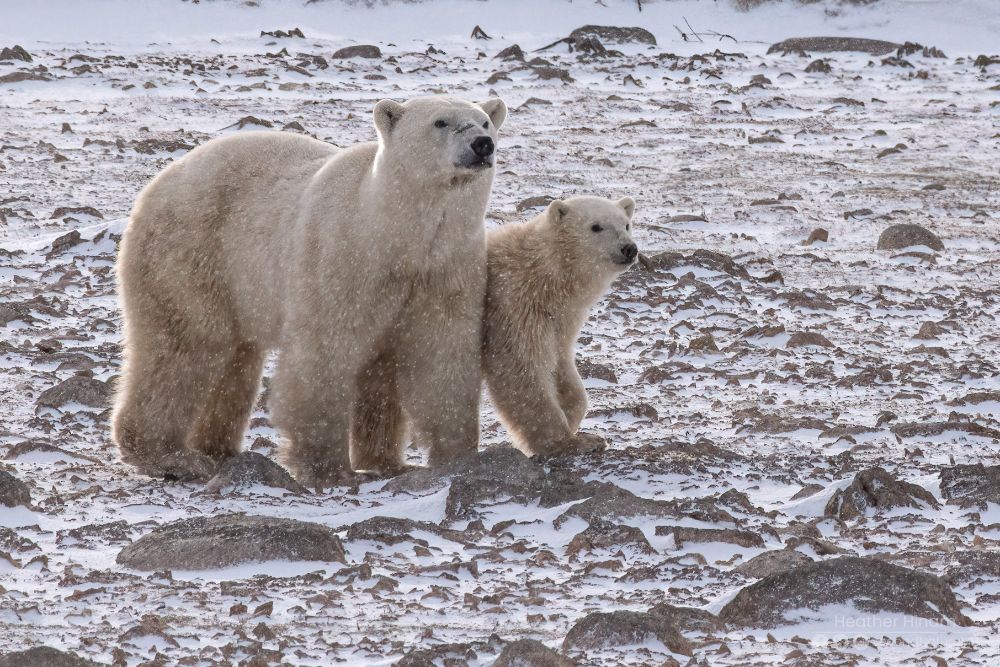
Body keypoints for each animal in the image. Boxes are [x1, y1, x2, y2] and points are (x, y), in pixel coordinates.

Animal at [111, 95, 508, 487]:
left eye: (485, 122)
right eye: (441, 122)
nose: (482, 145)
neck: (391, 235)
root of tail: (157, 185)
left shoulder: (445, 270)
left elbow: (441, 355)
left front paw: (449, 457)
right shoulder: (339, 260)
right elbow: (325, 354)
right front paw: (329, 469)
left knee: (236, 359)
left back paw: (218, 449)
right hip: (192, 254)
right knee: (184, 346)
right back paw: (172, 457)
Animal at [481, 196, 638, 456]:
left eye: (626, 224)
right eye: (596, 226)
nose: (629, 249)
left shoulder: (562, 319)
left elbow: (561, 361)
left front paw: (573, 418)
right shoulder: (514, 307)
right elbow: (521, 368)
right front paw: (571, 441)